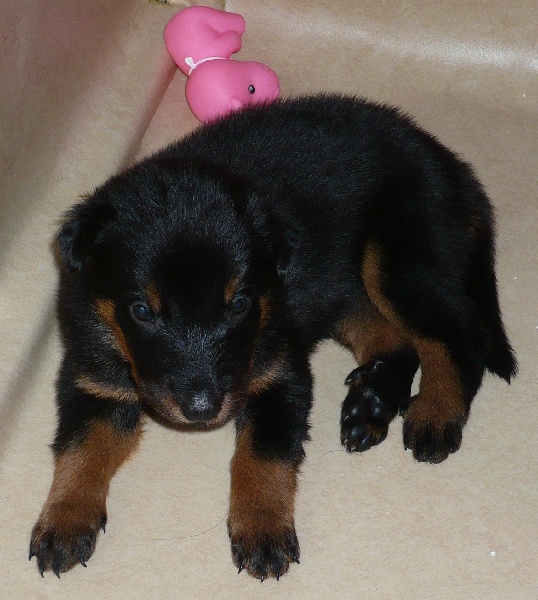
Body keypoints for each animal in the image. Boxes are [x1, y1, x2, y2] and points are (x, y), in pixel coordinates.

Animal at [30, 94, 516, 580]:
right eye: (142, 311)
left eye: (240, 303)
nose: (202, 410)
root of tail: (451, 165)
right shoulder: (93, 381)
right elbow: (79, 448)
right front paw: (64, 519)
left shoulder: (280, 373)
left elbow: (264, 454)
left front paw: (262, 528)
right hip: (341, 287)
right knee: (394, 338)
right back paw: (371, 404)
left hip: (395, 260)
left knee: (457, 338)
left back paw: (436, 414)